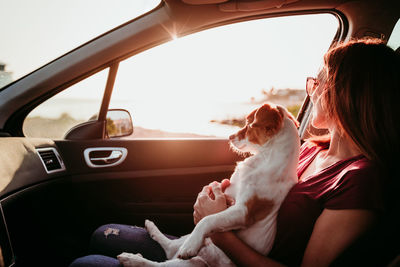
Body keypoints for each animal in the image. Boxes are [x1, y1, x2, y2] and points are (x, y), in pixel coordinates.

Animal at [119, 103, 300, 266]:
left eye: (249, 125)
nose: (230, 137)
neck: (265, 159)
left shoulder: (243, 211)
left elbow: (207, 219)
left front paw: (192, 244)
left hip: (192, 263)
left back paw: (134, 259)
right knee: (170, 247)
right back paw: (150, 231)